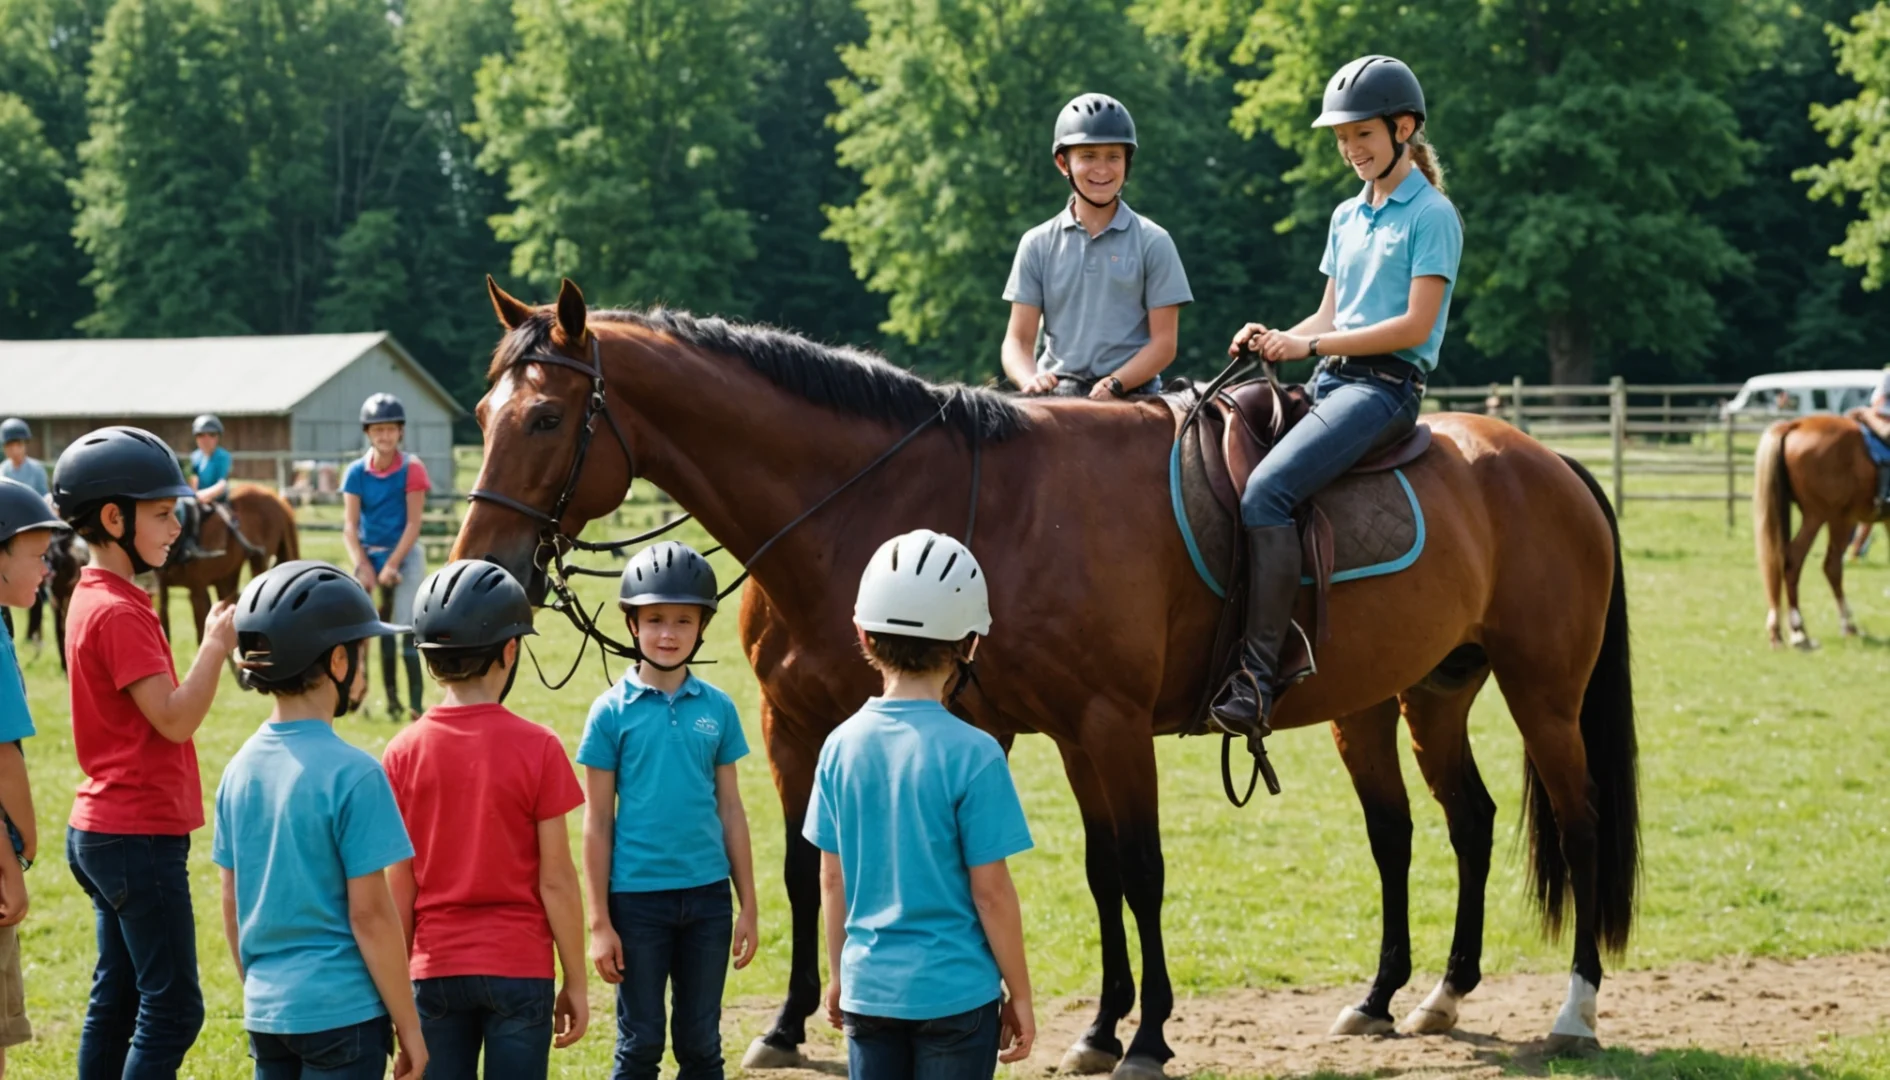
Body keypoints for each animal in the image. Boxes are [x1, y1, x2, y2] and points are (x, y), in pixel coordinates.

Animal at [154, 484, 298, 643]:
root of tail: (277, 498)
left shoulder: (198, 589)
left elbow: (201, 633)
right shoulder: (163, 589)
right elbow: (165, 628)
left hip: (257, 565)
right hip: (229, 577)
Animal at [453, 283, 1640, 1074]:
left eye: (547, 418)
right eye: (481, 417)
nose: (485, 568)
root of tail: (1542, 460)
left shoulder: (1101, 726)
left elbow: (1136, 871)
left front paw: (1145, 1034)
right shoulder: (850, 727)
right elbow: (824, 869)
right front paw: (800, 1025)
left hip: (1543, 696)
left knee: (1578, 824)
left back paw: (1575, 1014)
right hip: (1413, 698)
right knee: (1447, 826)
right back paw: (1414, 997)